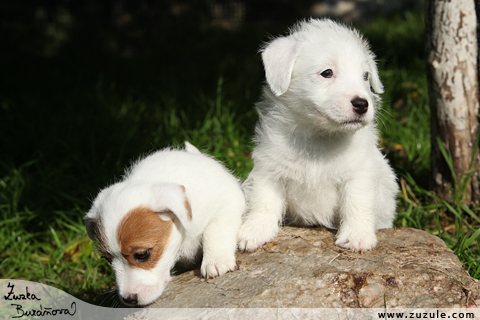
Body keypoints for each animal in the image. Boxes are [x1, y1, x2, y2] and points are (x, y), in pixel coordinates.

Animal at [83, 142, 246, 304]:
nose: (128, 300)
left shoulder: (228, 199)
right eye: (107, 259)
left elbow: (215, 229)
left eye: (142, 254)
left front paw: (216, 261)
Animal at [238, 18, 400, 254]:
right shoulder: (269, 170)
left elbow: (356, 203)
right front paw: (254, 231)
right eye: (327, 73)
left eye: (365, 76)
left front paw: (357, 236)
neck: (318, 137)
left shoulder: (358, 174)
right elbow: (264, 201)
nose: (362, 104)